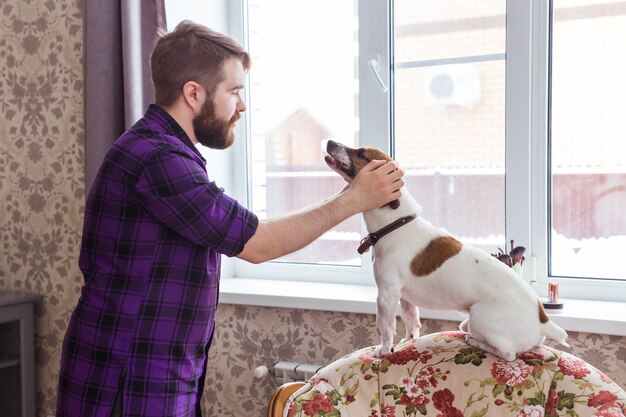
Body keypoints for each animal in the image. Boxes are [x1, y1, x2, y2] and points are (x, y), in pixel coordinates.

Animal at [324, 141, 568, 360]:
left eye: (361, 153)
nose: (330, 142)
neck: (396, 223)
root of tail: (543, 319)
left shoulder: (386, 295)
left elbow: (385, 327)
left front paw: (384, 351)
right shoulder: (404, 297)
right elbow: (411, 320)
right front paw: (408, 341)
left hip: (479, 318)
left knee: (507, 354)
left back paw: (476, 342)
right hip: (472, 322)